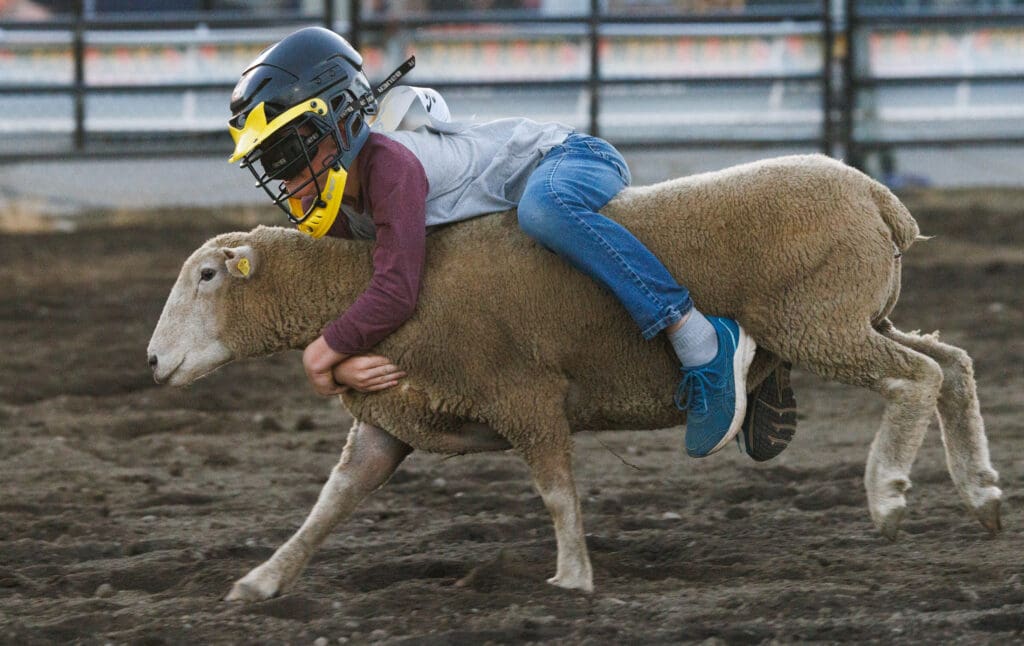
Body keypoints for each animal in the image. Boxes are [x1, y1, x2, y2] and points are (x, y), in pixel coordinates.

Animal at [148, 152, 1003, 601]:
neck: (363, 280)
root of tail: (876, 195)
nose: (153, 362)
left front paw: (571, 577)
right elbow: (330, 505)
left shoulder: (524, 395)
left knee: (914, 381)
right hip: (858, 316)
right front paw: (262, 581)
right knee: (953, 366)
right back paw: (984, 493)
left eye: (207, 278)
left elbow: (557, 490)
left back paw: (888, 492)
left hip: (821, 322)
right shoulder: (393, 421)